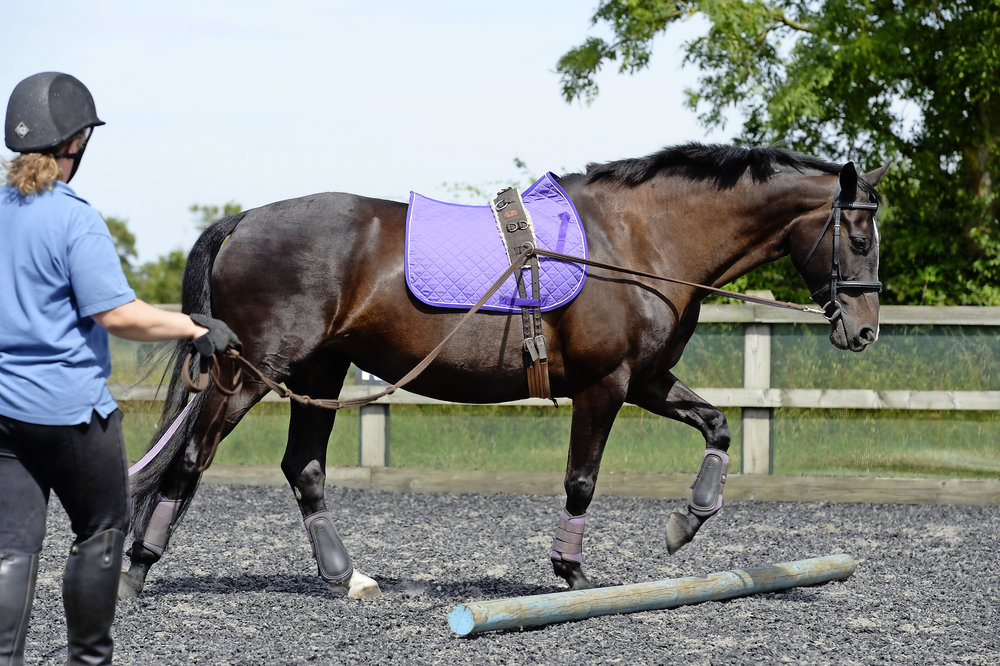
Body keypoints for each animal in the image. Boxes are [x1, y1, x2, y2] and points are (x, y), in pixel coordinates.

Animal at [118, 142, 888, 601]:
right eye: (858, 237)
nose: (865, 330)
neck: (639, 241)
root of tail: (242, 220)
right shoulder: (606, 387)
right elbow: (582, 480)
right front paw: (571, 570)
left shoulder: (644, 381)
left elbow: (719, 426)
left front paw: (687, 521)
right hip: (249, 373)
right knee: (190, 459)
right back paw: (137, 570)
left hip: (318, 371)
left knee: (301, 467)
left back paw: (346, 576)